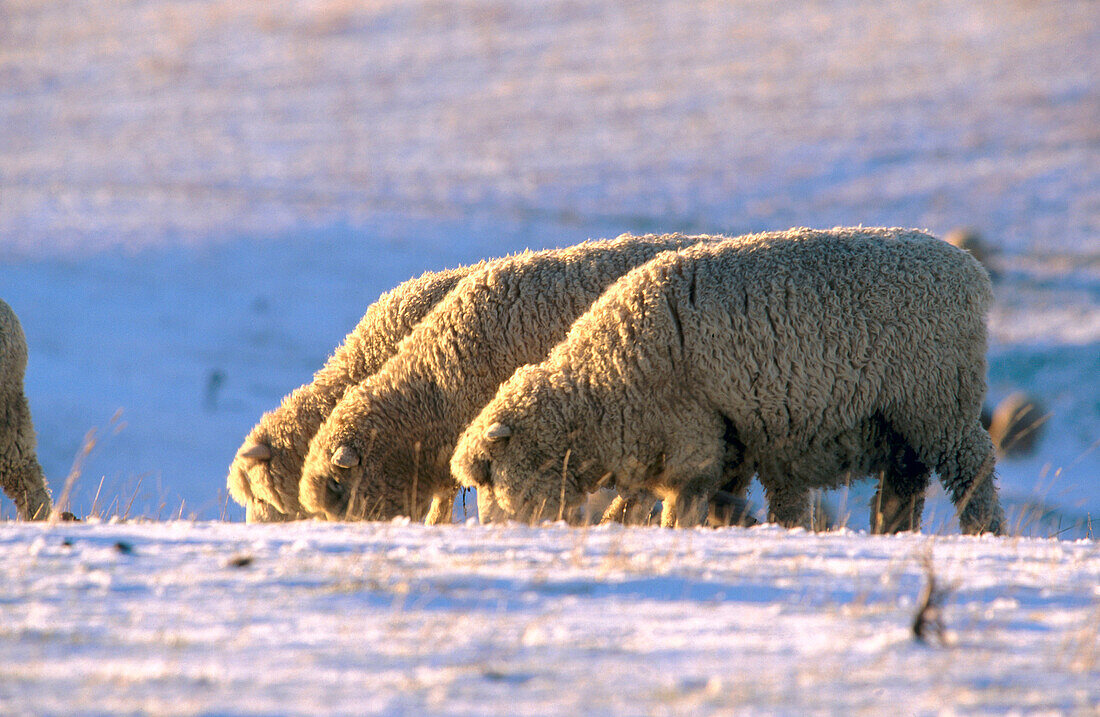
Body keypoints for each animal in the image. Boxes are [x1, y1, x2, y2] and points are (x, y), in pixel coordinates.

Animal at [448, 226, 1007, 534]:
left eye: (491, 479)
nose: (493, 532)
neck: (600, 388)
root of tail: (969, 269)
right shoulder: (714, 443)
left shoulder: (691, 440)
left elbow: (678, 506)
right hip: (900, 421)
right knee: (903, 485)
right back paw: (893, 533)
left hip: (937, 400)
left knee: (973, 468)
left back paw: (986, 533)